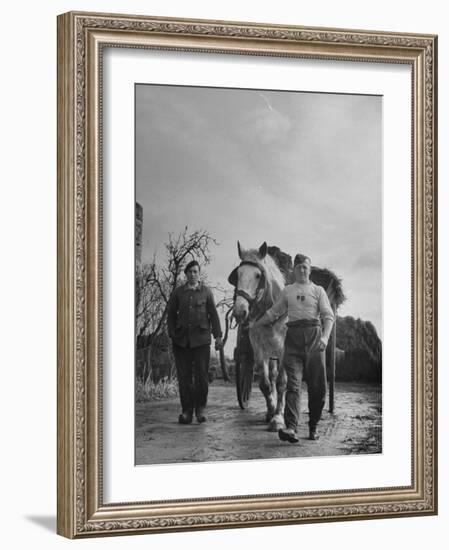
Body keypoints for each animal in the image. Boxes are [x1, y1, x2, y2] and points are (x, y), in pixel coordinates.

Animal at [228, 244, 288, 434]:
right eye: (238, 275)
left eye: (258, 275)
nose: (239, 311)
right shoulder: (259, 349)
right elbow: (265, 384)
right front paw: (271, 411)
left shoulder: (285, 350)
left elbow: (282, 383)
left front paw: (278, 418)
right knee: (272, 375)